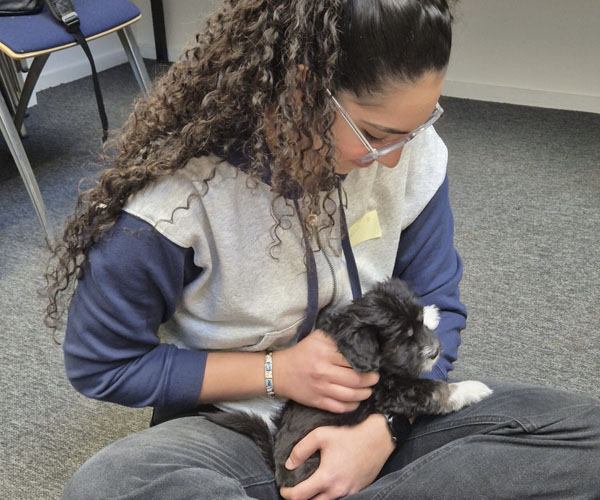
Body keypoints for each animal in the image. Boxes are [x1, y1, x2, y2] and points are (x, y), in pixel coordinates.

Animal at [203, 278, 493, 487]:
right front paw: (471, 390)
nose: (435, 352)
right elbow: (433, 391)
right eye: (402, 341)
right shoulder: (390, 391)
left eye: (418, 325)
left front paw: (430, 311)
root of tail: (276, 467)